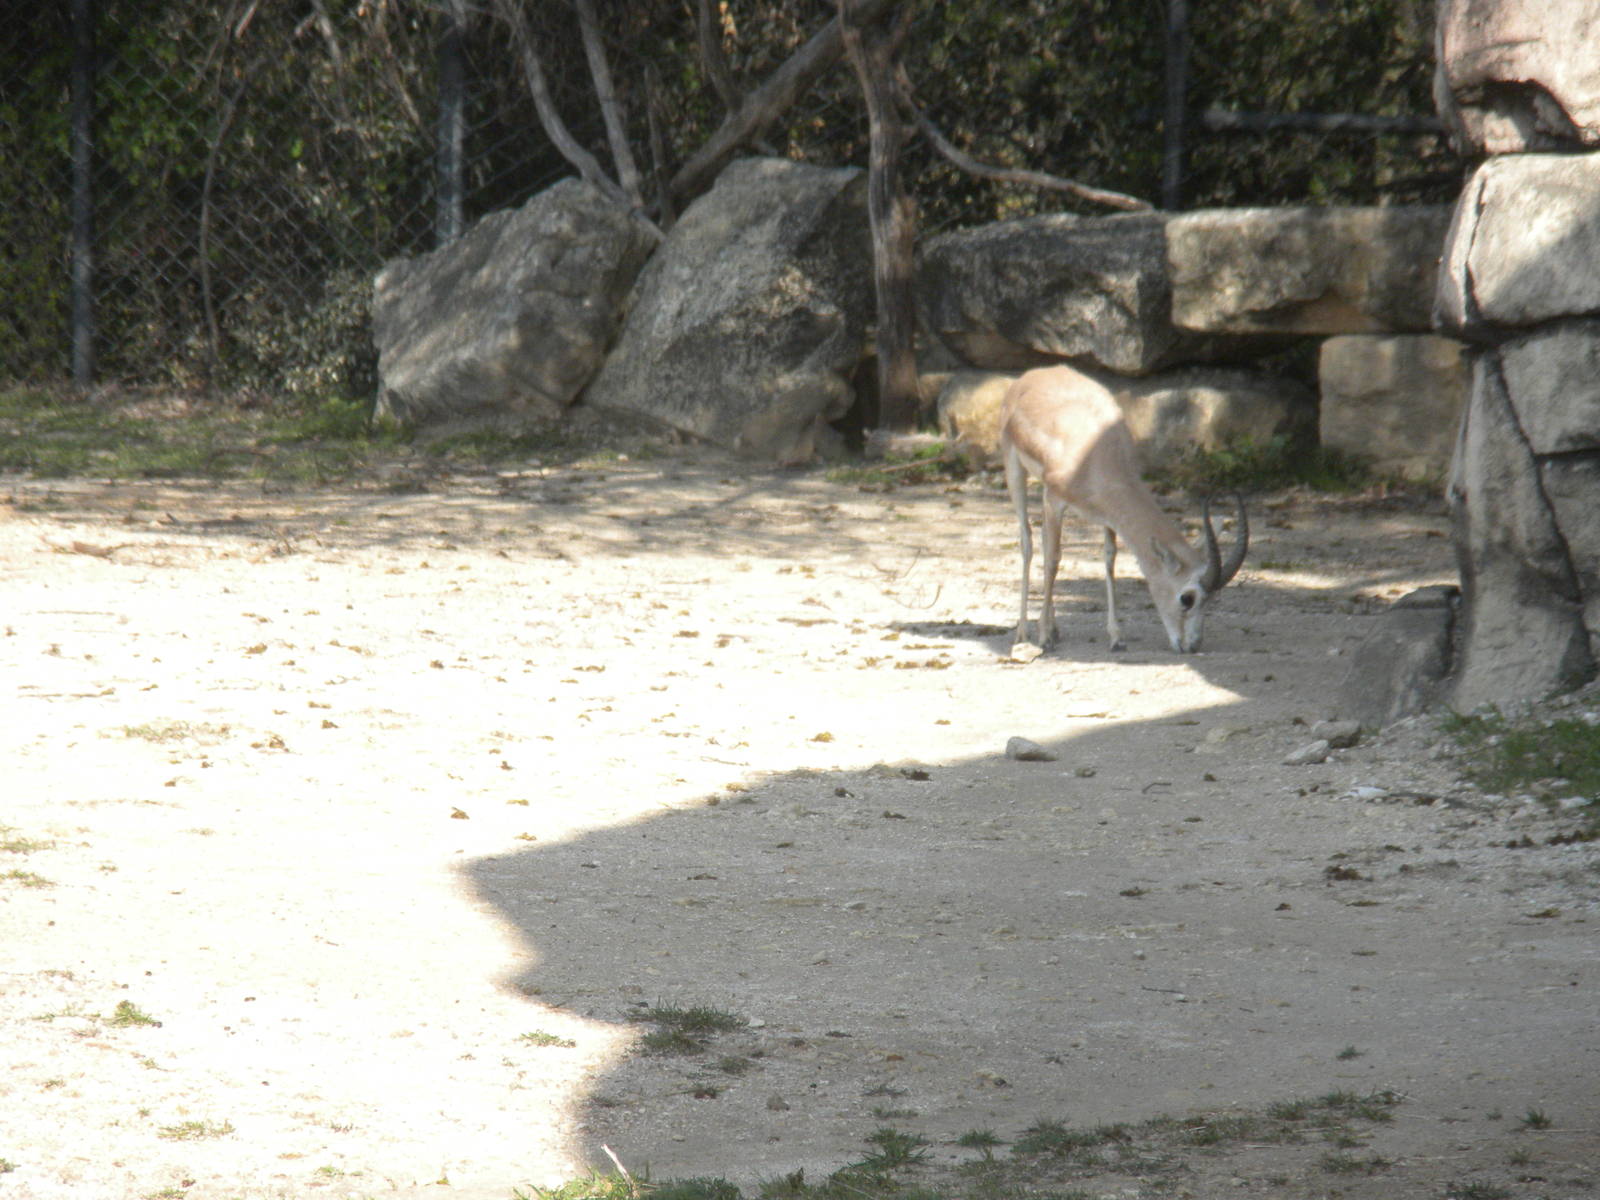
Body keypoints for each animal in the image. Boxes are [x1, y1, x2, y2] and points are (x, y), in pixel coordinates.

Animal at [1000, 365, 1248, 654]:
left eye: (1213, 598)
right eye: (1187, 598)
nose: (1192, 646)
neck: (1095, 458)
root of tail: (1034, 375)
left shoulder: (1108, 516)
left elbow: (1110, 560)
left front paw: (1116, 637)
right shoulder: (1055, 500)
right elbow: (1053, 560)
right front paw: (1044, 637)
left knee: (1041, 538)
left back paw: (1054, 628)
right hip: (1016, 472)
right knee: (1027, 542)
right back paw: (1023, 634)